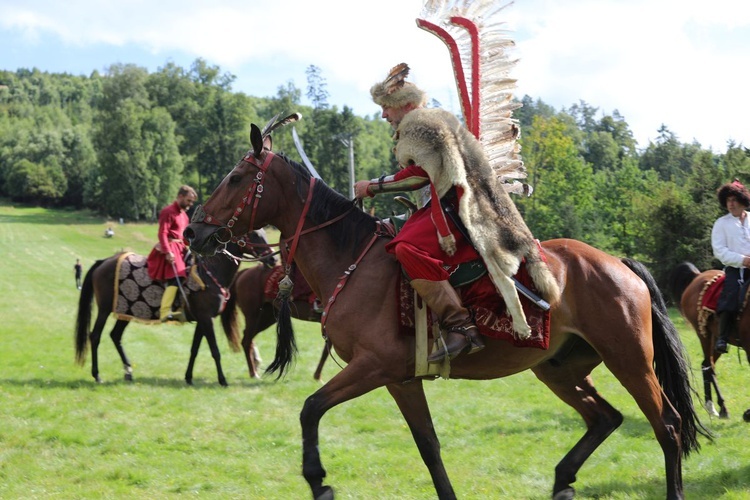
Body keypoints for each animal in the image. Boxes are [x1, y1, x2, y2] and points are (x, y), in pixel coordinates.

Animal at [73, 232, 270, 388]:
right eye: (254, 235)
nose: (272, 259)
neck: (211, 273)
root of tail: (104, 262)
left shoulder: (202, 321)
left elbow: (194, 349)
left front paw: (189, 377)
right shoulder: (207, 319)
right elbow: (215, 350)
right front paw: (222, 380)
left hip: (126, 310)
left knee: (115, 336)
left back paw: (128, 371)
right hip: (105, 310)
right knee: (95, 336)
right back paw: (97, 375)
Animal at [185, 125, 708, 500]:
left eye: (235, 178)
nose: (193, 232)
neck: (351, 258)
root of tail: (616, 262)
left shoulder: (373, 367)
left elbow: (311, 407)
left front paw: (317, 479)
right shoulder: (401, 379)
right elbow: (429, 446)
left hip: (630, 360)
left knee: (667, 426)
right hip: (558, 368)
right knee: (605, 418)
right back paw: (562, 482)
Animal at [672, 262, 748, 418]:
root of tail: (697, 276)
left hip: (716, 339)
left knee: (705, 365)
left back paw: (711, 406)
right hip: (704, 334)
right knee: (709, 366)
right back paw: (720, 407)